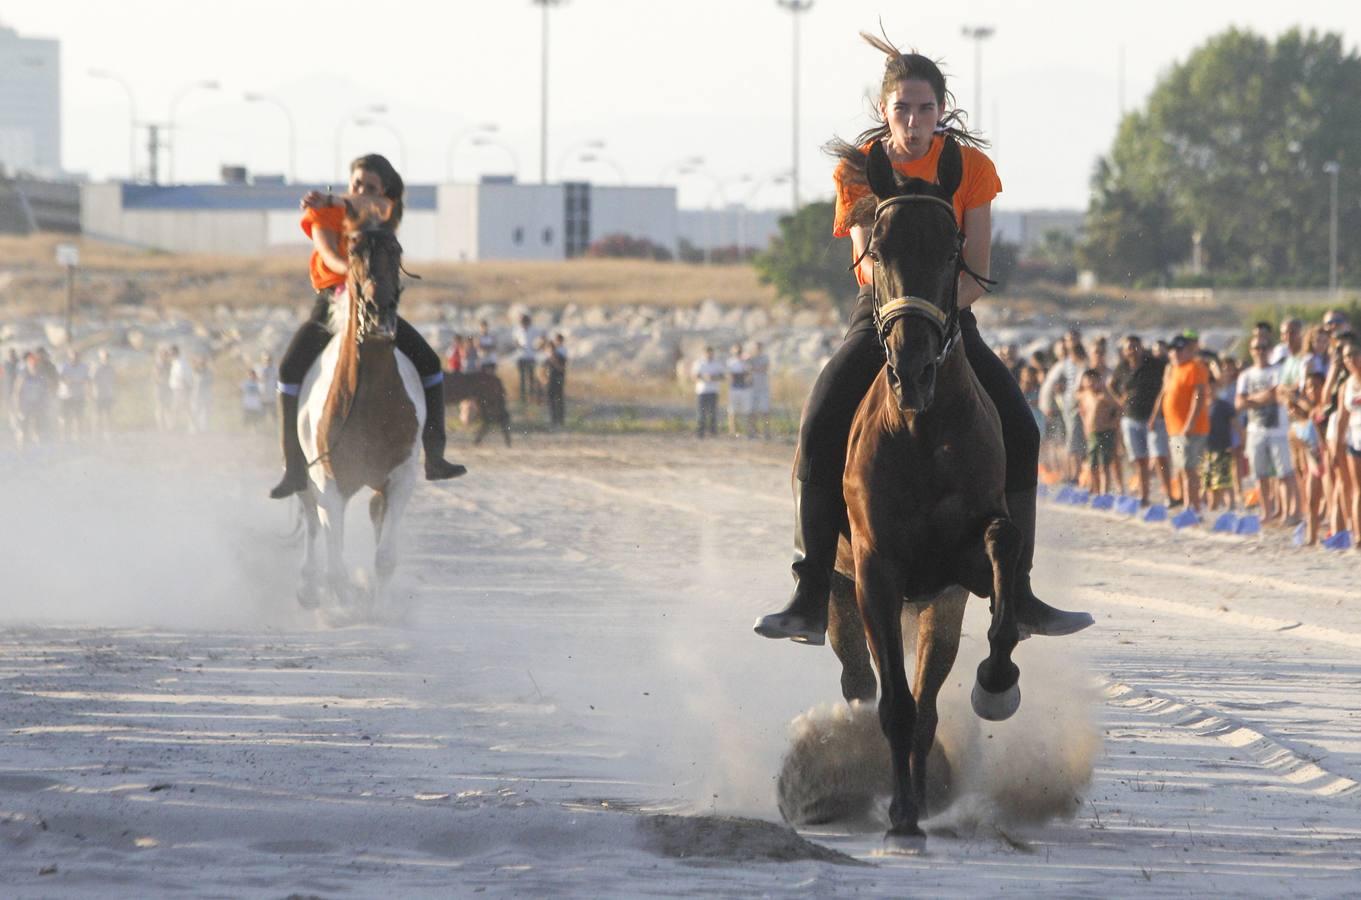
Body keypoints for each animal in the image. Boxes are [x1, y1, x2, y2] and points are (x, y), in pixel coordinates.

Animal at [296, 202, 419, 607]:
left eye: (397, 251)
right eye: (353, 253)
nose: (380, 313)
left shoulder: (400, 479)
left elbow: (385, 556)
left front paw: (378, 606)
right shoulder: (329, 480)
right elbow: (334, 560)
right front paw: (345, 600)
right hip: (308, 476)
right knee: (312, 520)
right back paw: (308, 586)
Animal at [822, 136, 1023, 844]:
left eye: (951, 251)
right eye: (878, 250)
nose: (911, 368)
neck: (920, 426)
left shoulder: (956, 572)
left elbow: (1003, 549)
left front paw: (997, 679)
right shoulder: (876, 571)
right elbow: (896, 706)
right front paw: (902, 813)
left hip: (940, 607)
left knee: (928, 699)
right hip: (841, 590)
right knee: (862, 679)